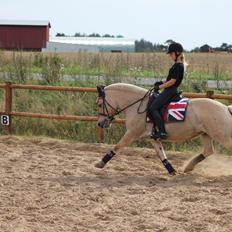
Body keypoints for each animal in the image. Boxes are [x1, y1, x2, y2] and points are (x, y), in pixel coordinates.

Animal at [94, 82, 232, 175]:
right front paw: (172, 171)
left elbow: (117, 146)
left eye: (99, 104)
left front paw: (100, 163)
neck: (139, 105)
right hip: (205, 134)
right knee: (208, 151)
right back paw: (188, 167)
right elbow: (161, 154)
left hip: (222, 137)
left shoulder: (131, 133)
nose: (100, 123)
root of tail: (226, 109)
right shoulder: (153, 138)